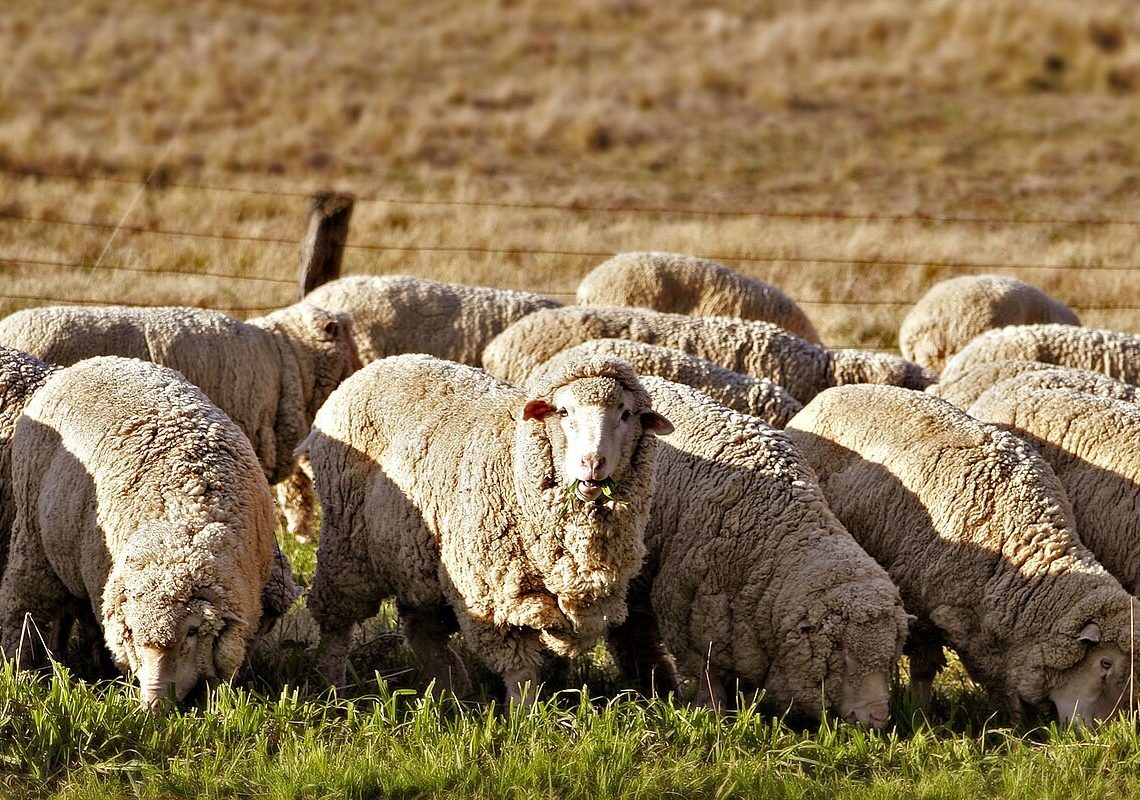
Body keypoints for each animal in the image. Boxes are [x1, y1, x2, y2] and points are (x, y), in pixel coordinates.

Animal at [0, 356, 276, 710]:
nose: (152, 706)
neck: (184, 522)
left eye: (192, 631)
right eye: (131, 632)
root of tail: (87, 362)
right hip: (33, 536)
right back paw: (18, 666)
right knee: (23, 604)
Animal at [303, 352, 673, 703]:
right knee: (337, 622)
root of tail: (374, 367)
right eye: (564, 412)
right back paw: (332, 684)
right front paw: (524, 715)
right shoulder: (491, 593)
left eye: (626, 415)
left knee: (421, 625)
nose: (593, 464)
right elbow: (520, 669)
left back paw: (451, 688)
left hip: (416, 557)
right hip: (345, 541)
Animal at [604, 377, 910, 727]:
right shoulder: (689, 612)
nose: (878, 718)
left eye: (890, 656)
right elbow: (708, 673)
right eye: (844, 657)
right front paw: (712, 714)